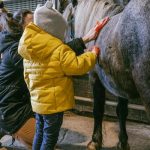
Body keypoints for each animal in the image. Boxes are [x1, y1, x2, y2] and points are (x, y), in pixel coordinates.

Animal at [61, 0, 150, 149]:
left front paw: (95, 141)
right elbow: (122, 111)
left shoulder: (95, 79)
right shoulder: (120, 86)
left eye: (67, 20)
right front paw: (123, 142)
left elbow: (98, 109)